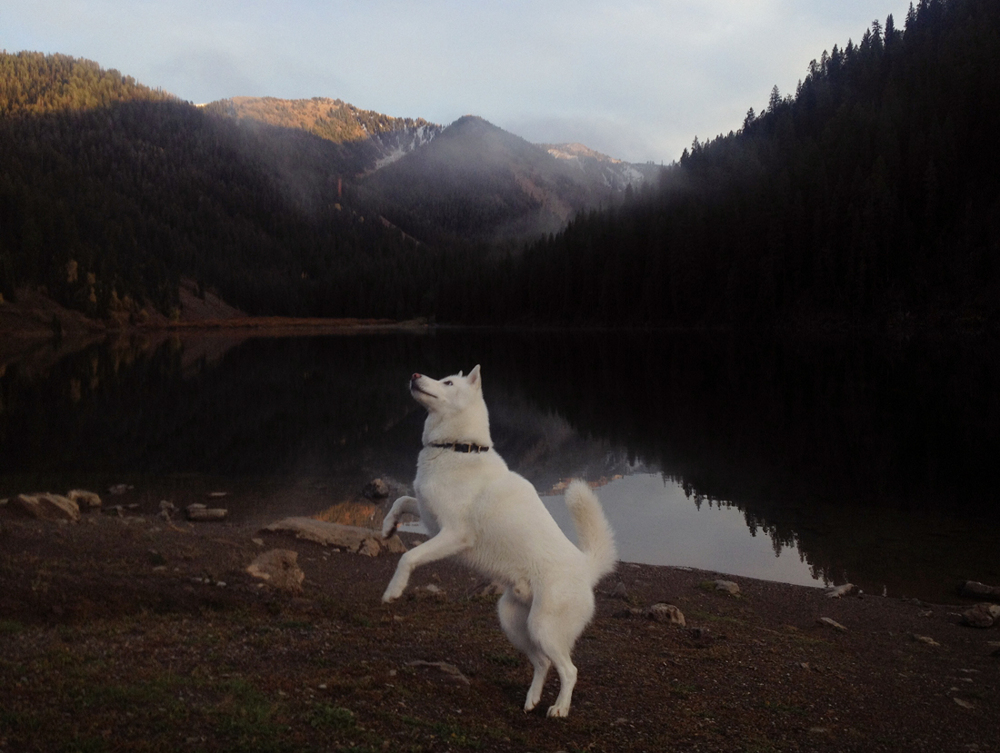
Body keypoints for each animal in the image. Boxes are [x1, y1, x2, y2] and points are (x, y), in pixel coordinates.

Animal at [382, 364, 616, 716]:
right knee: (543, 663)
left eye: (447, 382)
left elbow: (408, 557)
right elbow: (400, 501)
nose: (414, 375)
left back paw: (559, 708)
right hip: (513, 622)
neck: (457, 447)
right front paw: (387, 528)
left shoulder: (453, 533)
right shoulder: (428, 518)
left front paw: (393, 591)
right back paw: (532, 699)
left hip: (543, 627)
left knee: (569, 669)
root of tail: (585, 567)